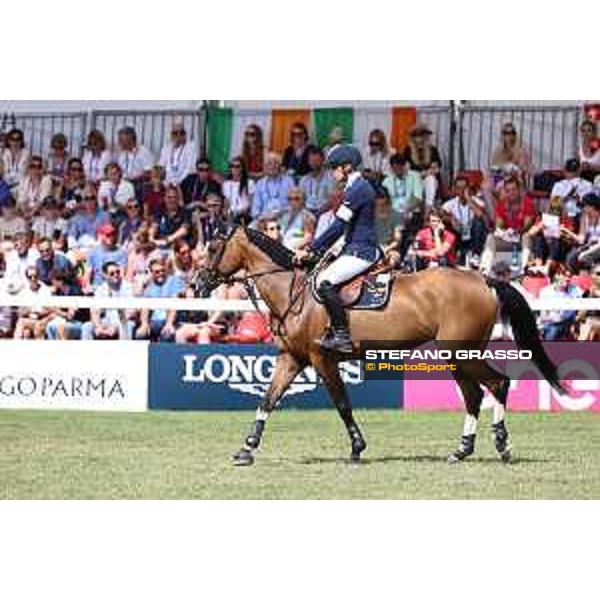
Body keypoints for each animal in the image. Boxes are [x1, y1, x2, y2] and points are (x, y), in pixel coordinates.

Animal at [197, 225, 568, 464]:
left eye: (214, 248)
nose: (199, 283)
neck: (294, 291)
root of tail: (483, 278)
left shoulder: (321, 358)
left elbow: (342, 404)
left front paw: (357, 448)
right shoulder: (292, 358)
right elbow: (267, 400)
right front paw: (247, 448)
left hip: (461, 352)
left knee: (497, 383)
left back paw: (501, 445)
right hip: (456, 355)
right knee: (474, 395)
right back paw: (462, 450)